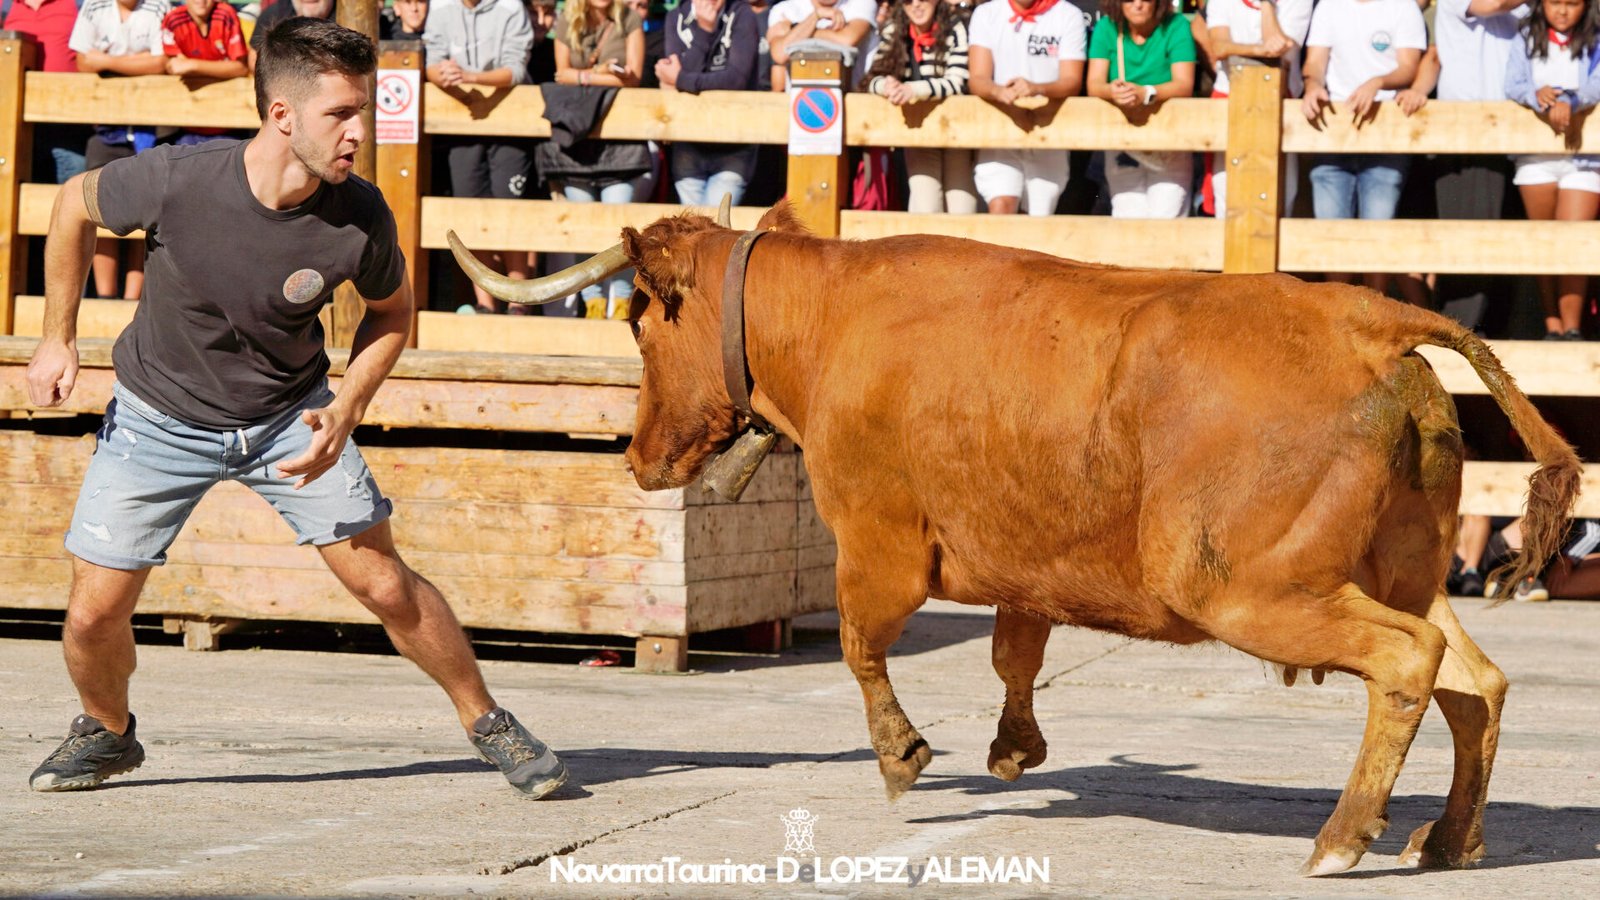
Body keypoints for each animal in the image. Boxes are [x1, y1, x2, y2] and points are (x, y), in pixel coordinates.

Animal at [451, 203, 1574, 871]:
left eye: (640, 324)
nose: (636, 458)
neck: (831, 319)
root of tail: (1371, 327)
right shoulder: (1021, 563)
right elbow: (1014, 649)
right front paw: (1013, 747)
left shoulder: (874, 540)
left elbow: (861, 644)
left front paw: (903, 756)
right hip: (1397, 570)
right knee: (1475, 681)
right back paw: (1449, 839)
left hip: (1250, 588)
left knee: (1410, 662)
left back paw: (1342, 838)